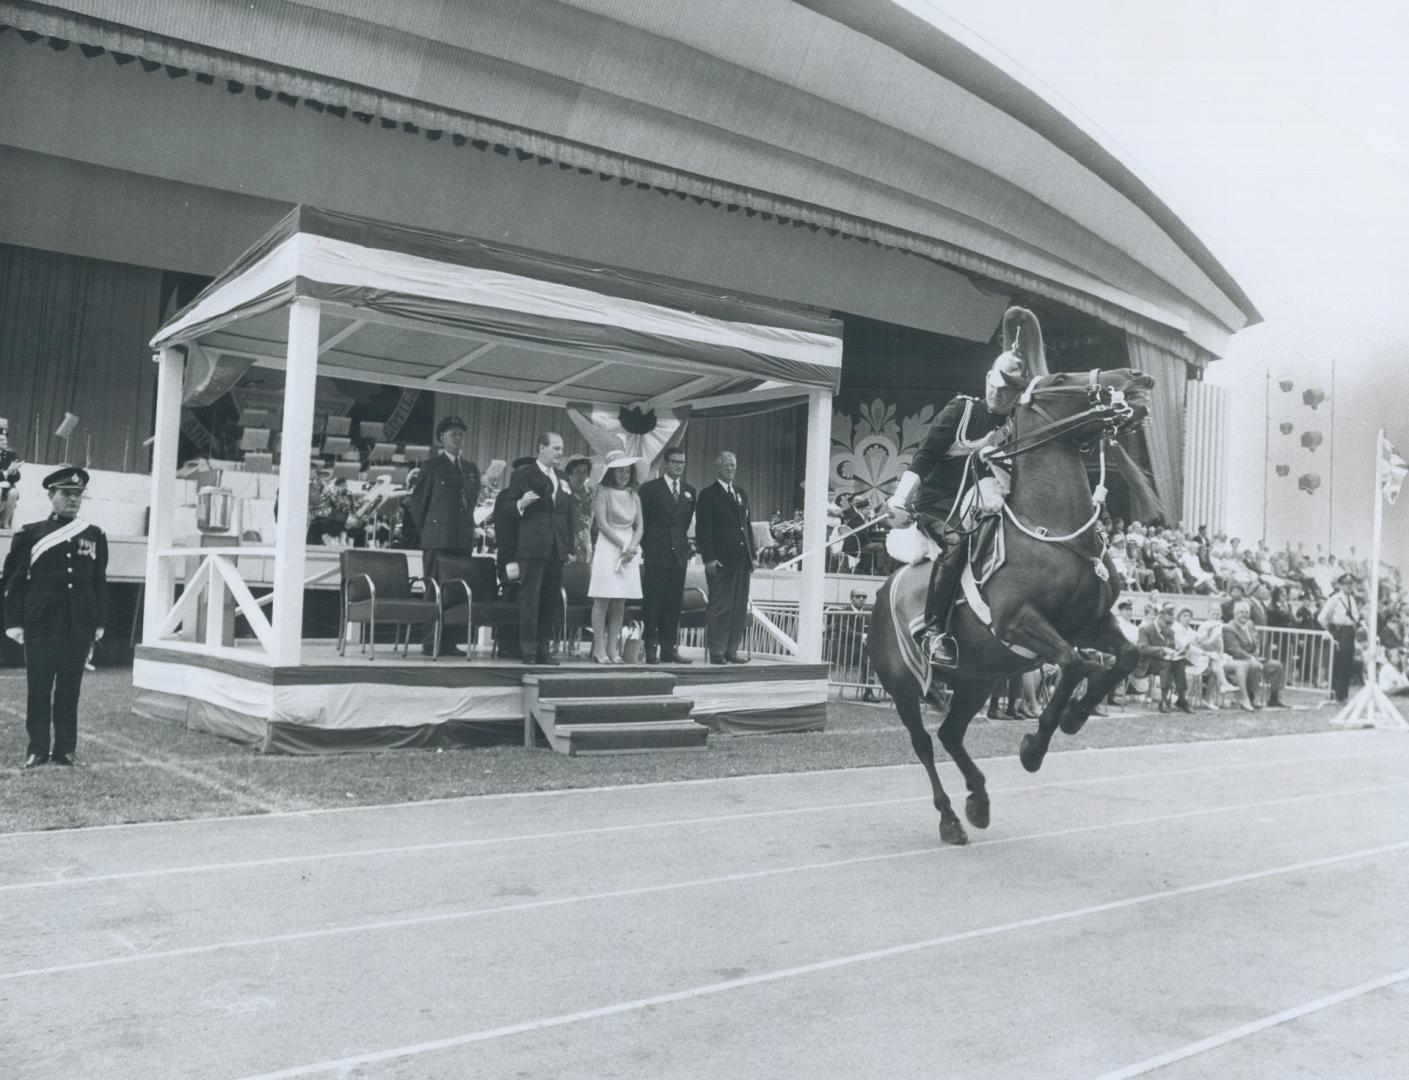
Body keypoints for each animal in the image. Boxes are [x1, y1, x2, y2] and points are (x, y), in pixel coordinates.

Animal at [867, 366, 1155, 850]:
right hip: (905, 686)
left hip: (976, 680)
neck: (1054, 531)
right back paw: (950, 819)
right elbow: (1075, 664)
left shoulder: (1091, 623)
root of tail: (879, 595)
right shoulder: (1019, 622)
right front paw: (1035, 747)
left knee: (950, 734)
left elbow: (1126, 656)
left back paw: (978, 801)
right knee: (924, 743)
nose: (1138, 378)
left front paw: (1076, 716)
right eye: (1061, 376)